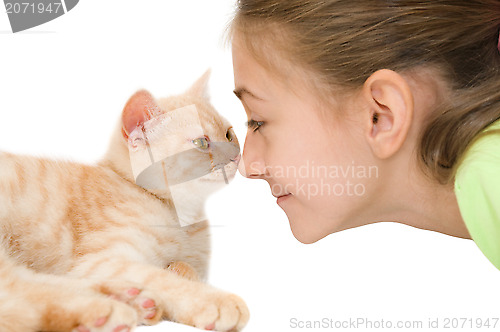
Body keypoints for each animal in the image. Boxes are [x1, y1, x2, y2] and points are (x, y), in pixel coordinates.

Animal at [0, 71, 249, 330]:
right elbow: (159, 276)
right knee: (20, 297)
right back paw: (105, 310)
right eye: (202, 143)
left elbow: (185, 269)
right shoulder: (101, 260)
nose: (237, 156)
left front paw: (180, 270)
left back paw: (129, 298)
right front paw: (209, 299)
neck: (181, 218)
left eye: (229, 134)